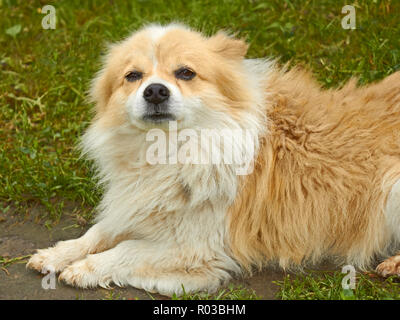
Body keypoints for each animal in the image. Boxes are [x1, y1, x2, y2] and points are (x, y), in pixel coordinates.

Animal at [27, 23, 400, 296]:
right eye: (133, 76)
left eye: (186, 73)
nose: (155, 91)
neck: (172, 150)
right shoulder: (139, 205)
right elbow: (99, 232)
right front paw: (57, 254)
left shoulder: (198, 247)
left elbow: (127, 249)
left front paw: (86, 269)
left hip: (391, 186)